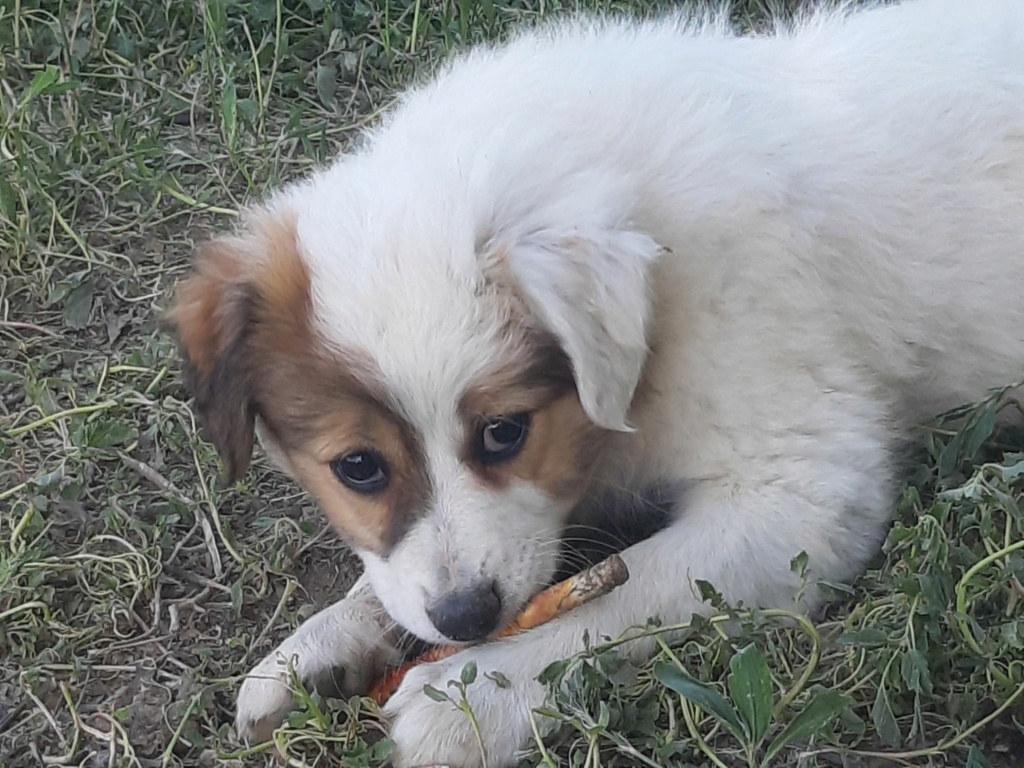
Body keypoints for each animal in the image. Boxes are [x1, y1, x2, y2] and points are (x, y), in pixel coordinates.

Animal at [167, 1, 1024, 765]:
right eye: (357, 467)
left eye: (504, 432)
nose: (468, 617)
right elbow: (396, 576)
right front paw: (321, 641)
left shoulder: (802, 492)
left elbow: (627, 592)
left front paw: (475, 699)